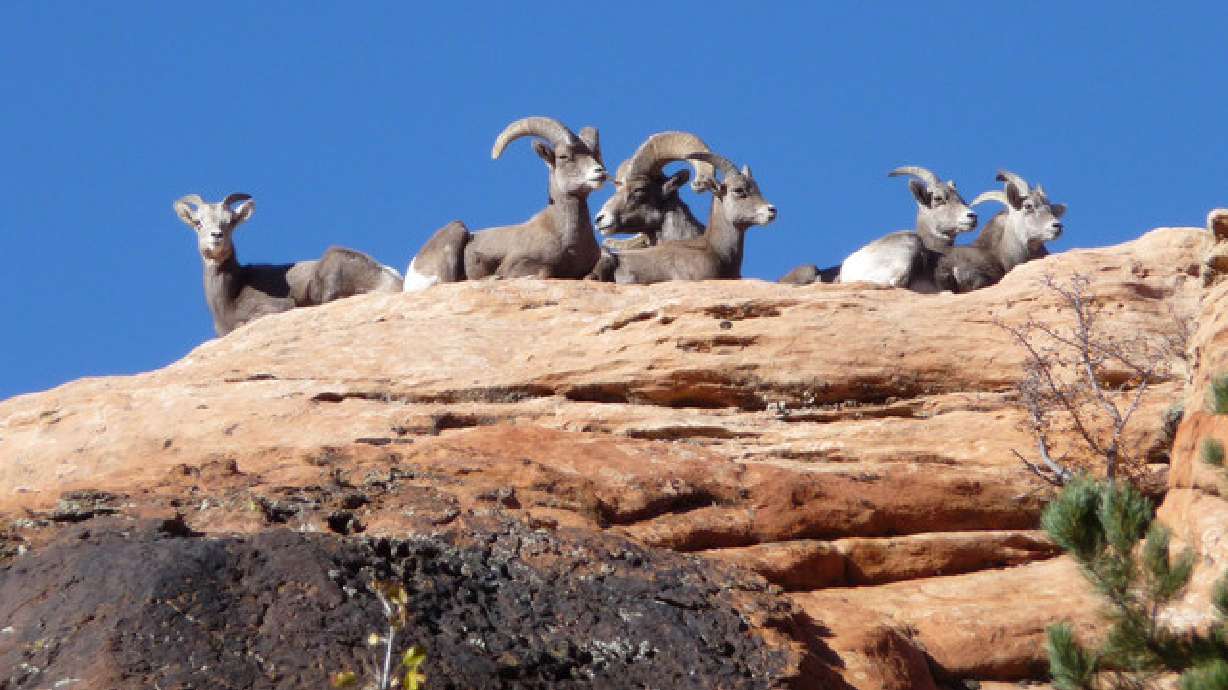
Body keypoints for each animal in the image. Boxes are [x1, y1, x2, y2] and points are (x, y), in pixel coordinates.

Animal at [173, 193, 402, 336]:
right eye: (198, 223)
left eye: (230, 222)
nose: (216, 237)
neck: (228, 298)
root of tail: (389, 277)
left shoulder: (279, 306)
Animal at [403, 117, 607, 291]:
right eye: (564, 156)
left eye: (594, 155)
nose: (600, 172)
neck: (567, 239)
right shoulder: (517, 264)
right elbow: (545, 271)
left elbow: (592, 277)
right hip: (456, 229)